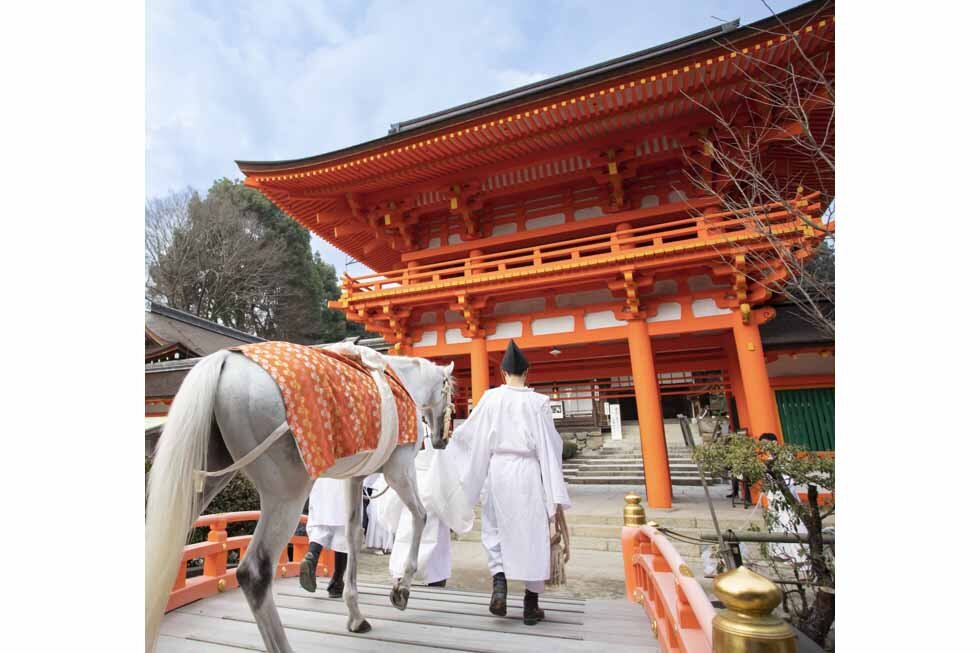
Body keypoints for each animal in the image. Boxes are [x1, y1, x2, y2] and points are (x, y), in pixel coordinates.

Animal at [145, 345, 455, 652]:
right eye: (451, 393)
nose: (441, 440)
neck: (405, 383)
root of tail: (226, 360)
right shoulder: (399, 469)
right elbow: (420, 515)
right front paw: (401, 590)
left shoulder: (355, 478)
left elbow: (353, 534)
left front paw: (355, 615)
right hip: (287, 491)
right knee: (254, 572)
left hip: (206, 474)